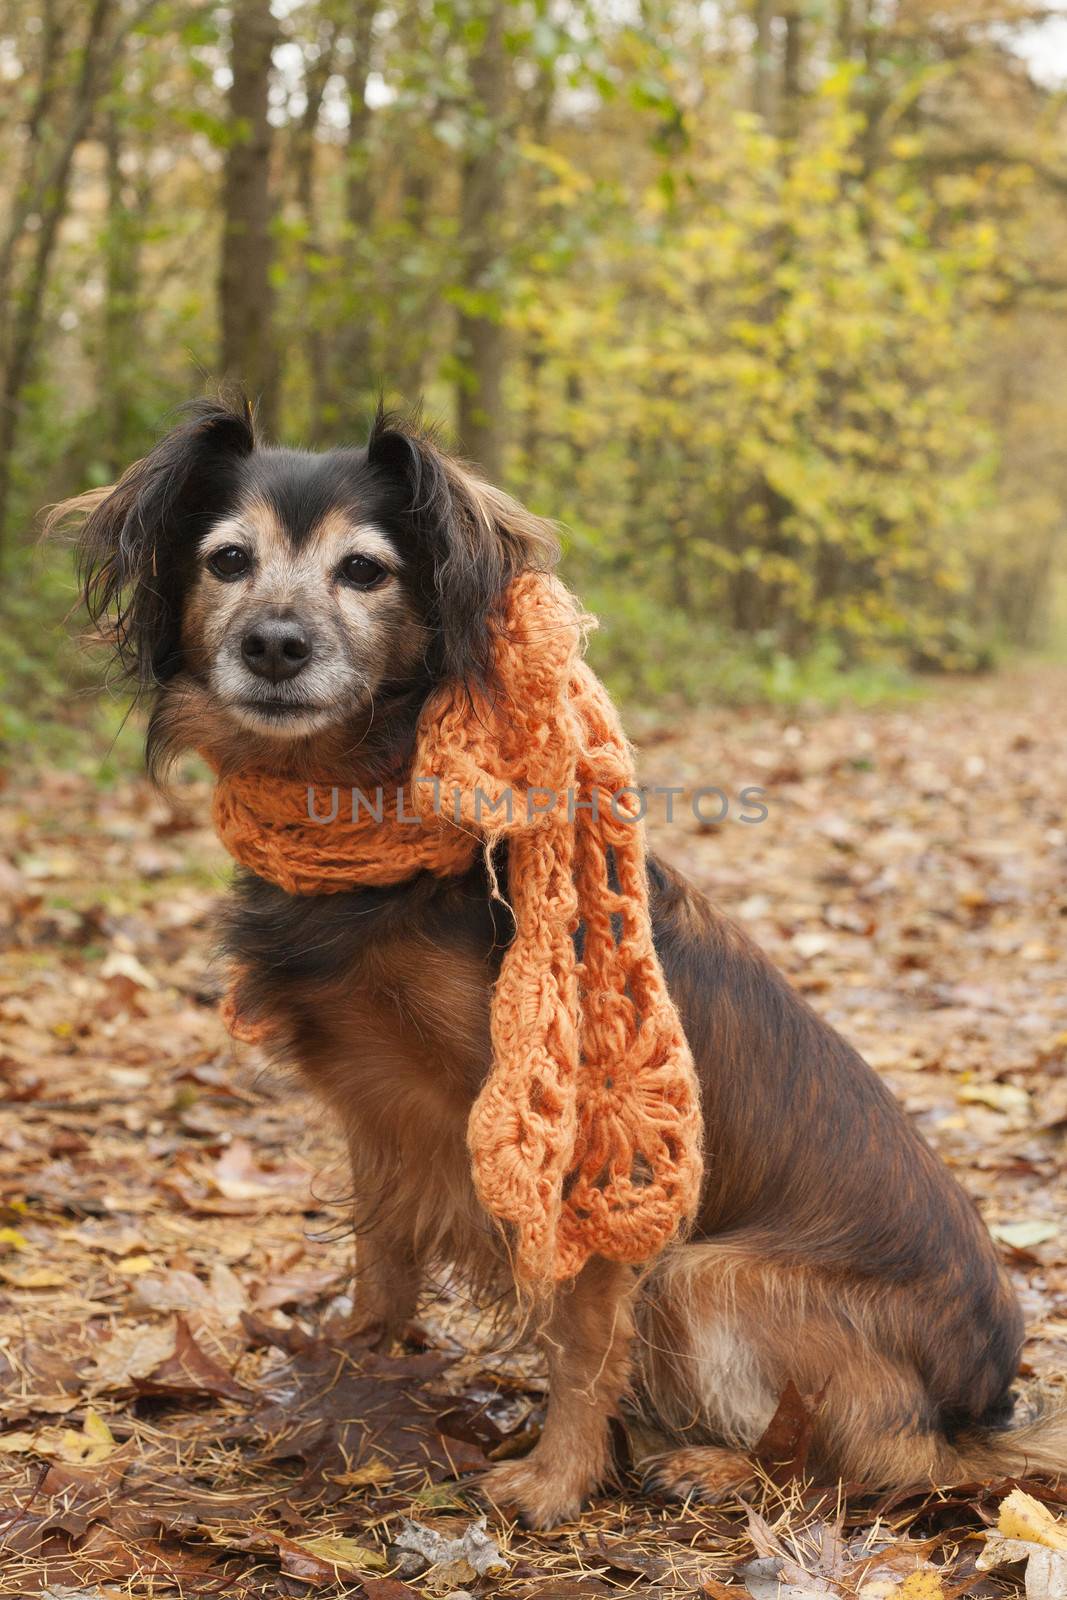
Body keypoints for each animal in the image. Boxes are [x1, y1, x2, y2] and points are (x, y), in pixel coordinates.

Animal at [51, 396, 1067, 1523]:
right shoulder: (380, 1115)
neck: (374, 819)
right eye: (227, 559)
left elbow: (584, 1336)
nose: (275, 644)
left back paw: (710, 1463)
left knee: (873, 1456)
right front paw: (351, 1377)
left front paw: (554, 1478)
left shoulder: (581, 1146)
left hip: (710, 1279)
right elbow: (379, 1265)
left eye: (365, 571)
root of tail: (979, 1402)